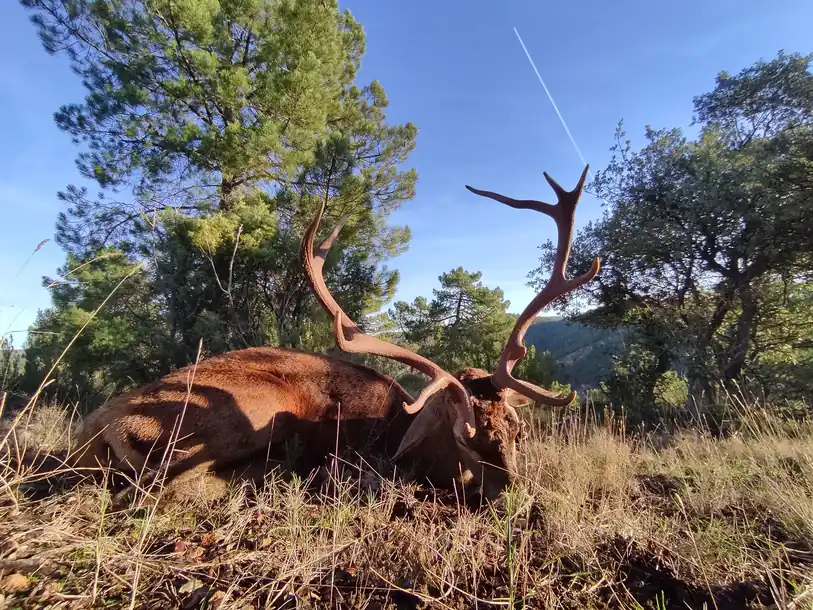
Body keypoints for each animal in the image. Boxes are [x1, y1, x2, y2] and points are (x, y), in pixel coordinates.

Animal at [68, 166, 599, 506]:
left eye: (518, 430)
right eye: (464, 436)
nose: (514, 498)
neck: (395, 431)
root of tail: (96, 430)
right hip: (258, 409)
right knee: (155, 491)